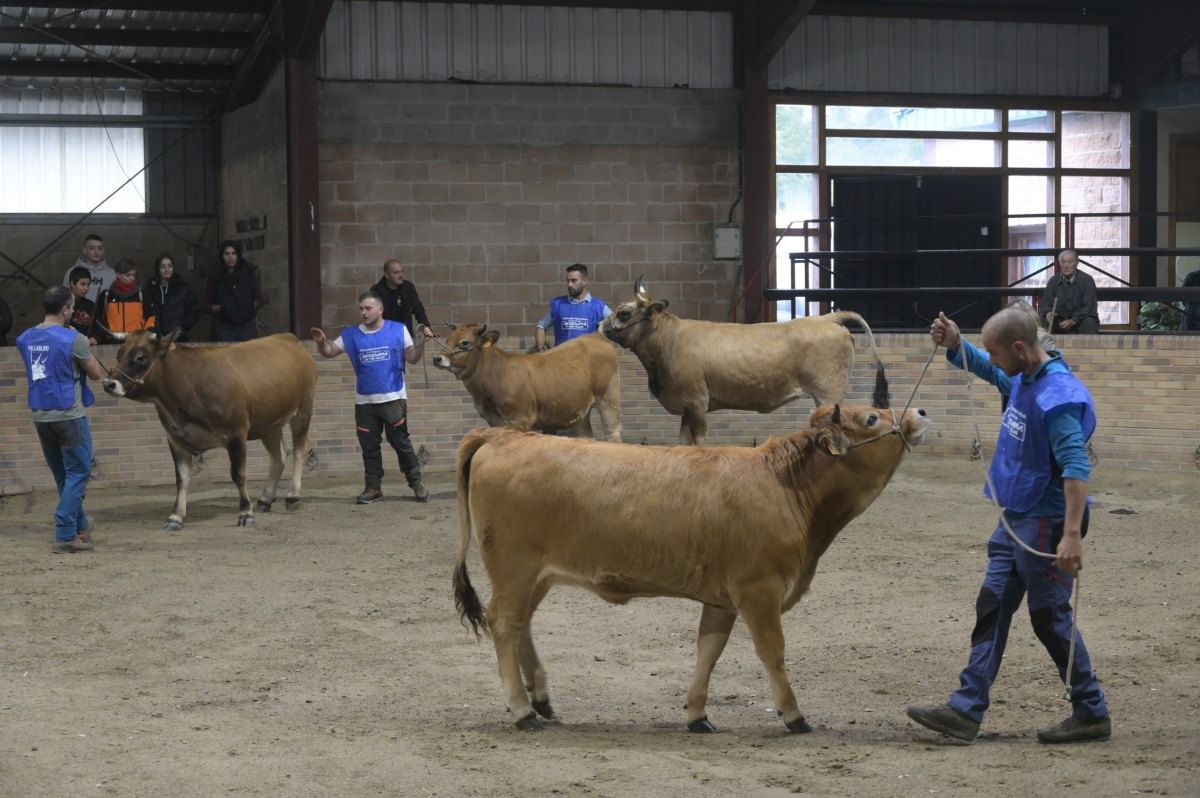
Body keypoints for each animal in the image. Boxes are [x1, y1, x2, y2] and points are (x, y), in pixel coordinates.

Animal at [103, 328, 319, 528]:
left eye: (140, 357)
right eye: (119, 355)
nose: (108, 383)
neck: (189, 387)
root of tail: (288, 337)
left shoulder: (236, 433)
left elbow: (238, 474)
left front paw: (245, 514)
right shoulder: (175, 438)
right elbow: (181, 478)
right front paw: (175, 516)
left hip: (303, 410)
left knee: (299, 450)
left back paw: (292, 496)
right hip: (269, 424)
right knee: (279, 456)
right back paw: (265, 499)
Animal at [432, 321, 624, 439]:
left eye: (464, 343)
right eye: (447, 339)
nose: (436, 358)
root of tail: (596, 336)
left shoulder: (520, 419)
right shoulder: (494, 421)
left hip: (608, 399)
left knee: (612, 432)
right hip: (580, 409)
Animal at [451, 388, 926, 729]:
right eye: (871, 418)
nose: (919, 412)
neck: (782, 483)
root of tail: (502, 436)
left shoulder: (722, 598)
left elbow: (708, 651)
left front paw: (697, 713)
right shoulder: (759, 590)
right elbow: (772, 652)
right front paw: (794, 715)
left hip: (535, 576)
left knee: (521, 625)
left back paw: (542, 699)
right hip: (514, 569)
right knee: (504, 624)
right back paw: (522, 710)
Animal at [597, 277, 888, 444]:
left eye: (624, 313)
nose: (601, 326)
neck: (669, 341)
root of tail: (826, 318)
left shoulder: (697, 402)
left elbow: (700, 442)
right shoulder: (686, 407)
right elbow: (682, 443)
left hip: (829, 394)